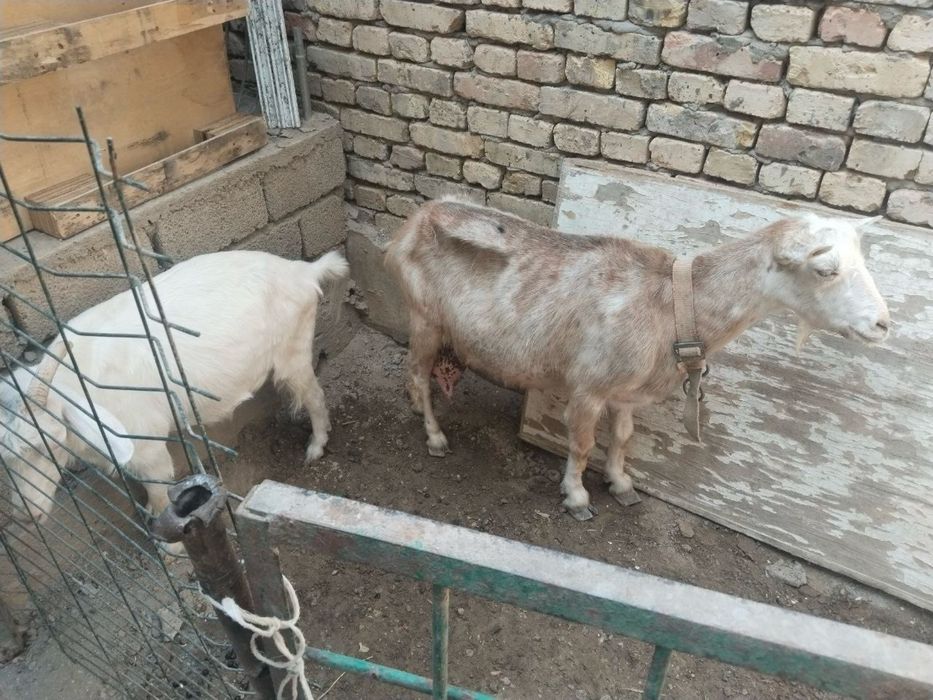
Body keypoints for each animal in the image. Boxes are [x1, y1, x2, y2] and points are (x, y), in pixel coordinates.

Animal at [1, 249, 348, 529]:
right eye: (5, 458)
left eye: (45, 445)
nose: (25, 516)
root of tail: (303, 270)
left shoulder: (146, 447)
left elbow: (158, 494)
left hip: (293, 350)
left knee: (313, 395)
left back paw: (315, 448)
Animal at [385, 198, 890, 521]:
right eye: (825, 270)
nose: (883, 323)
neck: (672, 307)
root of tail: (412, 222)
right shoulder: (588, 388)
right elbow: (582, 443)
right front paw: (577, 498)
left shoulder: (624, 393)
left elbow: (623, 438)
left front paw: (622, 485)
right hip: (425, 316)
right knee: (417, 371)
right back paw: (434, 435)